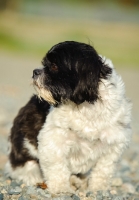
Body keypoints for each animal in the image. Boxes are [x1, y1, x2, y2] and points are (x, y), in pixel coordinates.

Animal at [5, 41, 131, 195]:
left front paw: (98, 189)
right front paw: (61, 188)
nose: (35, 71)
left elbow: (103, 170)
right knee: (23, 166)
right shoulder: (53, 141)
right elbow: (57, 168)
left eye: (54, 66)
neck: (84, 107)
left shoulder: (113, 144)